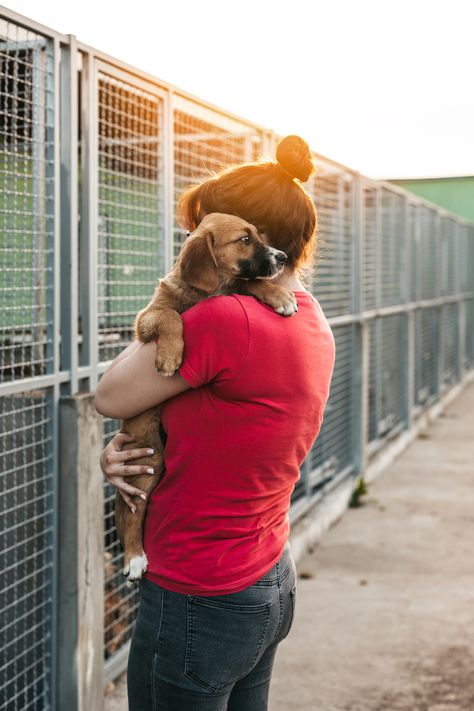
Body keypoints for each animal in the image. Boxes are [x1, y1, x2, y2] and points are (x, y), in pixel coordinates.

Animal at [115, 213, 298, 584]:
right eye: (245, 239)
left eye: (258, 235)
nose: (283, 257)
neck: (207, 292)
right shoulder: (146, 319)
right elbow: (171, 316)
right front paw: (170, 355)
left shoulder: (234, 287)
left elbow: (247, 284)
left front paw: (277, 293)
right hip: (148, 456)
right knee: (132, 510)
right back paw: (135, 558)